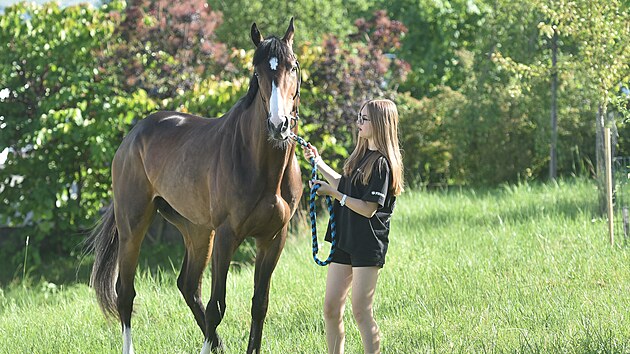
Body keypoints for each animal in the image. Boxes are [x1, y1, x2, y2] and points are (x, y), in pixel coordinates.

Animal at [87, 19, 304, 354]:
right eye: (257, 73)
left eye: (292, 66)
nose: (278, 125)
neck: (263, 168)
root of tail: (133, 135)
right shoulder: (227, 236)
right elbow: (218, 306)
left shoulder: (273, 238)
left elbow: (259, 304)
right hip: (133, 226)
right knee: (125, 294)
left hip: (198, 231)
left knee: (188, 286)